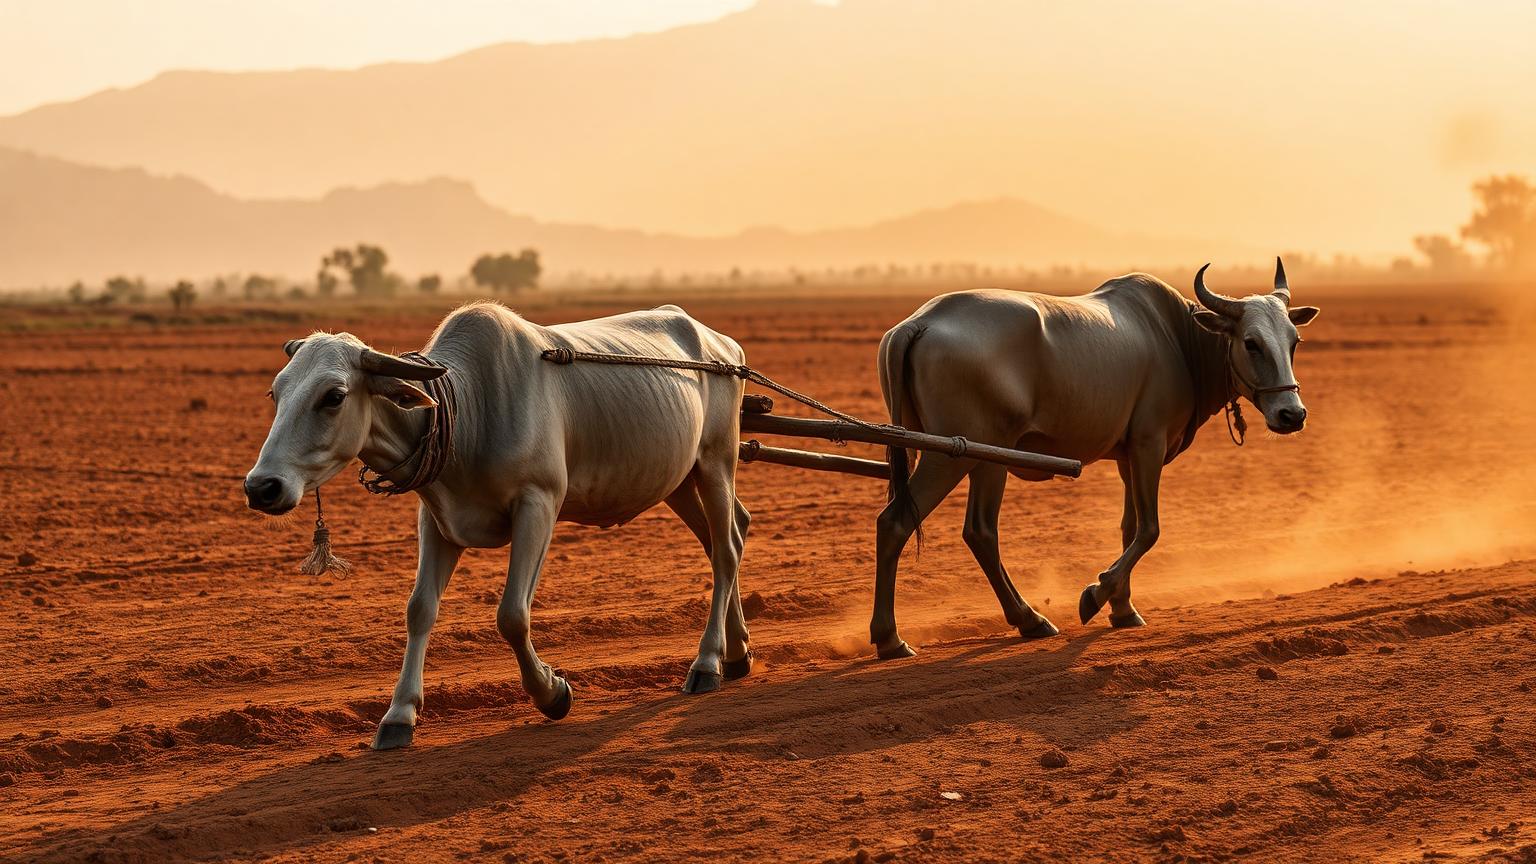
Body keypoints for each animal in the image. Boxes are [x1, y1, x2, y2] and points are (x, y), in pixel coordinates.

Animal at [243, 302, 753, 749]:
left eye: (333, 396)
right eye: (276, 393)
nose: (261, 487)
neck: (471, 409)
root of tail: (723, 344)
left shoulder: (539, 503)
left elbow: (511, 615)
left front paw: (552, 692)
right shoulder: (437, 521)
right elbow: (419, 610)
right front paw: (399, 715)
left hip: (716, 460)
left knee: (726, 550)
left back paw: (707, 662)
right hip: (679, 479)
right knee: (726, 536)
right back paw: (737, 651)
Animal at [869, 261, 1319, 657]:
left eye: (1294, 342)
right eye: (1251, 343)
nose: (1291, 415)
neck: (1177, 338)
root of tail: (918, 323)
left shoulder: (1128, 457)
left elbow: (1129, 527)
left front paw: (1123, 608)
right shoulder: (1149, 444)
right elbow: (1150, 529)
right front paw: (1096, 595)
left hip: (978, 459)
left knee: (976, 532)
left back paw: (1028, 620)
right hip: (957, 456)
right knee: (906, 523)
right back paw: (892, 638)